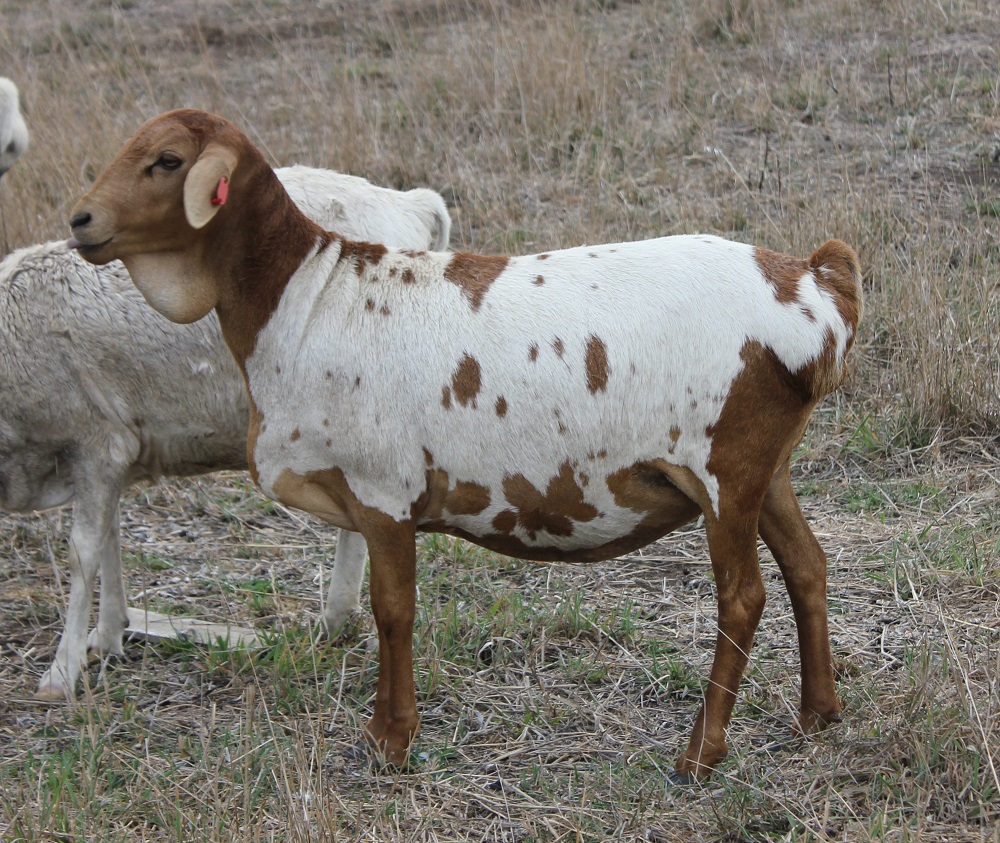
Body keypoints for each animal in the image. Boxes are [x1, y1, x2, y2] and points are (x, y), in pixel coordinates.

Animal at [72, 109, 868, 780]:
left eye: (167, 161)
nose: (80, 219)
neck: (305, 296)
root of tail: (812, 286)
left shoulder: (383, 491)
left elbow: (393, 611)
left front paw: (391, 740)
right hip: (767, 466)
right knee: (807, 566)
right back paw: (818, 714)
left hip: (724, 465)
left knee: (743, 597)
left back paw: (701, 753)